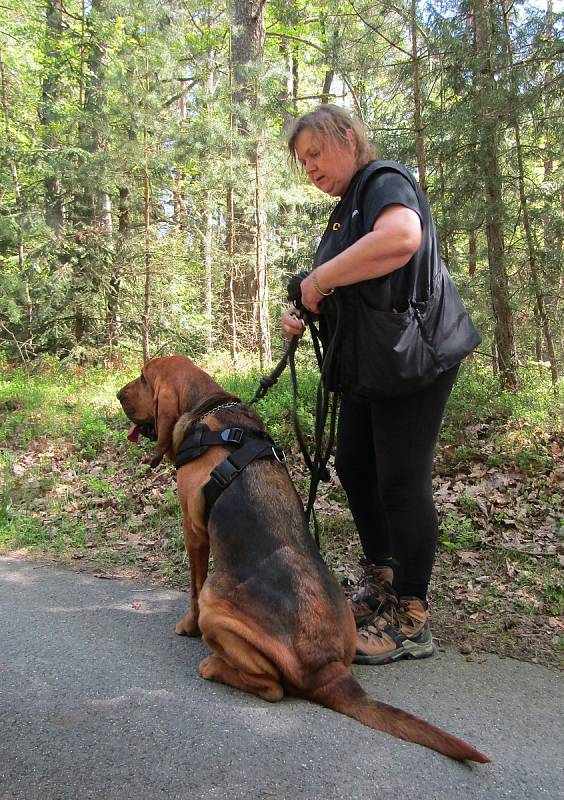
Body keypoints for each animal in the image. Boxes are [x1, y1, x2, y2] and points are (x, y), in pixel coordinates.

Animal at [118, 356, 490, 764]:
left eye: (143, 378)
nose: (117, 394)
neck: (209, 411)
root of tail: (326, 668)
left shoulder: (194, 531)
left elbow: (193, 589)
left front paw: (187, 626)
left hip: (218, 609)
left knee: (271, 687)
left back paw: (213, 665)